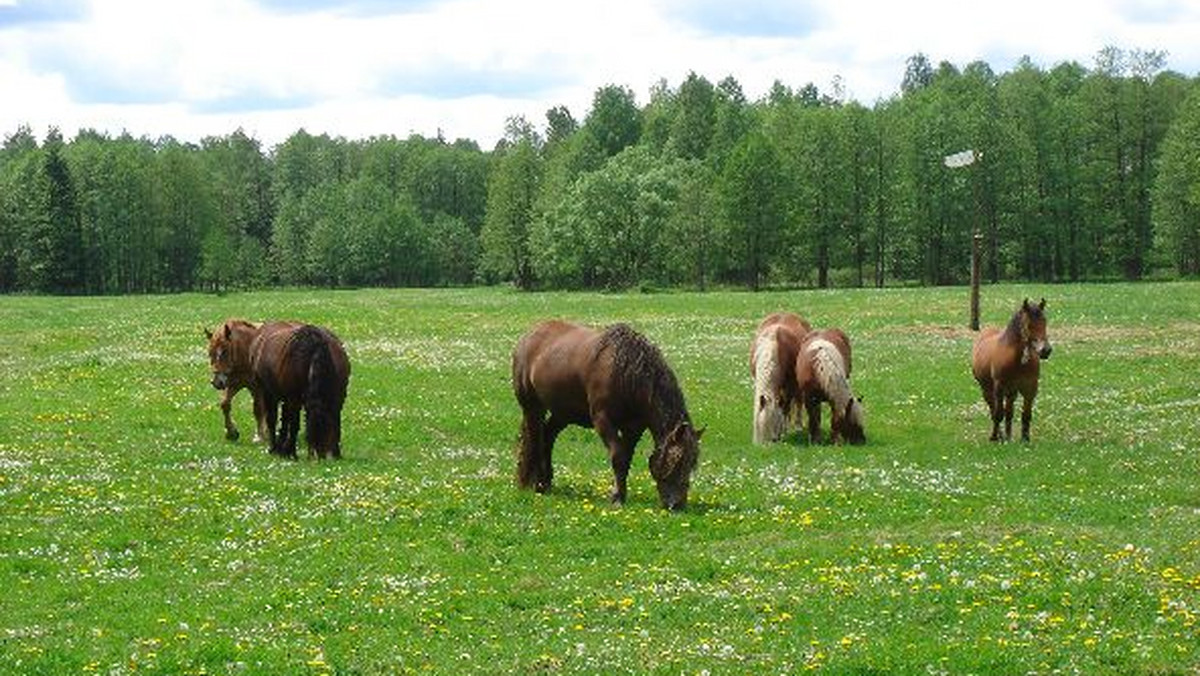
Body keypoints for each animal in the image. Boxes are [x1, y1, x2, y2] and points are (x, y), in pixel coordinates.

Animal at [249, 321, 350, 461]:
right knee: (273, 419)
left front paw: (337, 453)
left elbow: (336, 422)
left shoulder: (338, 399)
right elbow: (294, 425)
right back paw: (275, 448)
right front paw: (291, 452)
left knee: (284, 419)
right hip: (269, 393)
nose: (320, 456)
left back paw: (281, 448)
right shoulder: (294, 399)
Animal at [508, 319, 700, 511]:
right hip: (533, 408)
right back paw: (530, 483)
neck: (626, 374)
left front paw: (621, 494)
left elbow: (626, 458)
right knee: (534, 439)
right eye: (677, 461)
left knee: (547, 438)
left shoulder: (634, 427)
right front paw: (616, 498)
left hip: (562, 413)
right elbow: (618, 456)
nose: (677, 504)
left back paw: (544, 482)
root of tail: (527, 337)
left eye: (691, 463)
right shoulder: (603, 420)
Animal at [748, 312, 816, 444]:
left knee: (798, 402)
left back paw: (798, 426)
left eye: (776, 425)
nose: (772, 442)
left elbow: (786, 407)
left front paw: (784, 431)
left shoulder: (790, 385)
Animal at [969, 298, 1056, 441]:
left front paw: (1025, 439)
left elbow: (1026, 414)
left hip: (1011, 391)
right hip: (987, 389)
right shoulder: (999, 388)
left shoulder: (1030, 388)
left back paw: (1008, 436)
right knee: (994, 409)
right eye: (1029, 324)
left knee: (1009, 411)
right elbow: (998, 413)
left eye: (1044, 322)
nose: (1045, 350)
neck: (1016, 360)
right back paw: (1000, 435)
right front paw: (994, 437)